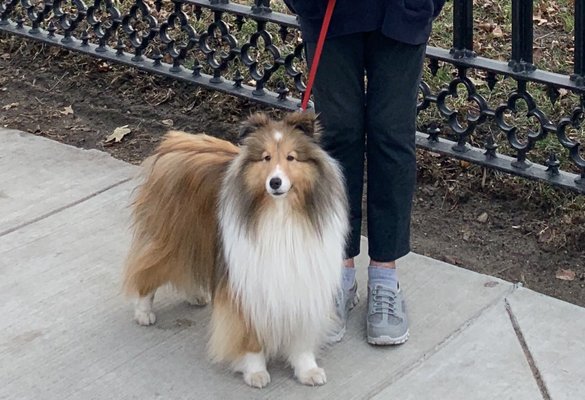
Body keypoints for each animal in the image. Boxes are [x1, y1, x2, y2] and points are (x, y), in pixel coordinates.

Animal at [122, 111, 346, 388]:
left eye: (291, 157)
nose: (275, 182)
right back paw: (144, 312)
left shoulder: (304, 279)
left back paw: (195, 295)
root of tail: (175, 142)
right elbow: (250, 335)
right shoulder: (248, 283)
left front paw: (307, 370)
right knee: (148, 270)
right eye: (266, 157)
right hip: (169, 240)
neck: (281, 213)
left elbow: (301, 336)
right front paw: (256, 371)